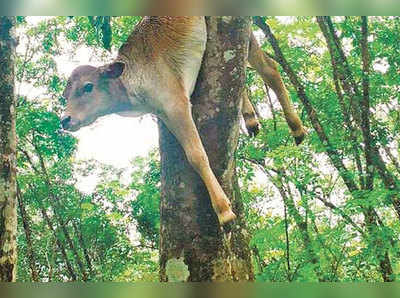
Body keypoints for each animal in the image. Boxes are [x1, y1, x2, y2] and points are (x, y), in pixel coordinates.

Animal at [61, 16, 304, 225]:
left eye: (88, 87)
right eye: (65, 95)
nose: (65, 120)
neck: (133, 88)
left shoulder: (177, 104)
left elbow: (196, 155)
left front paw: (224, 211)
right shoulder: (164, 113)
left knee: (270, 69)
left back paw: (297, 128)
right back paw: (250, 118)